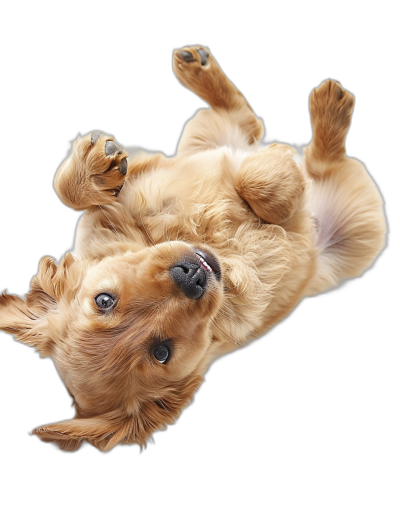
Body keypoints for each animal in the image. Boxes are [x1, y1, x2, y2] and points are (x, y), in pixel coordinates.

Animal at [0, 44, 388, 454]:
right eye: (161, 352)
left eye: (103, 300)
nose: (190, 276)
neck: (211, 247)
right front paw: (282, 178)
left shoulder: (136, 184)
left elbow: (68, 190)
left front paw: (97, 165)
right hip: (359, 229)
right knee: (315, 159)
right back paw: (325, 118)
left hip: (205, 140)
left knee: (242, 121)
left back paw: (203, 69)